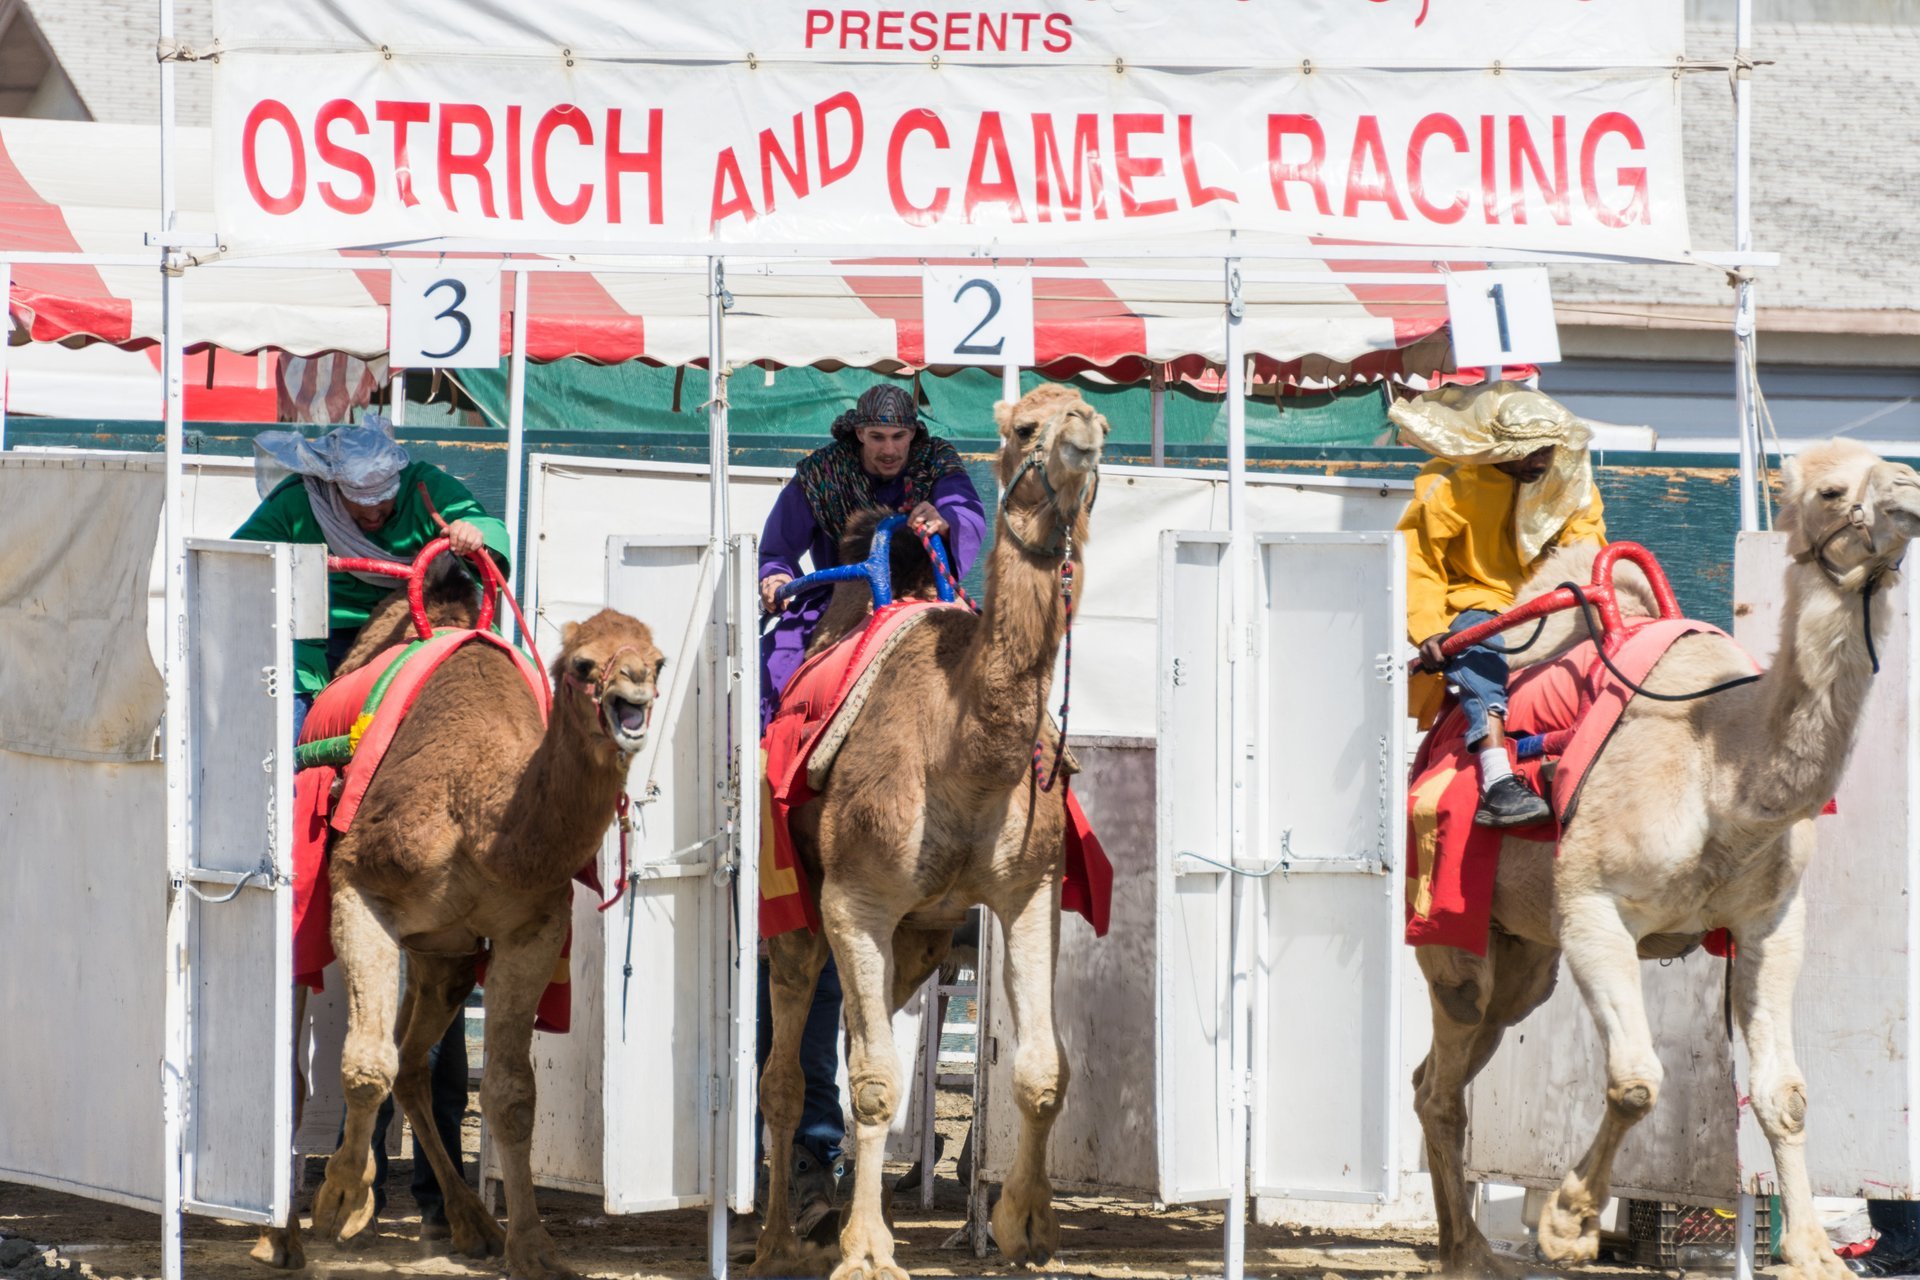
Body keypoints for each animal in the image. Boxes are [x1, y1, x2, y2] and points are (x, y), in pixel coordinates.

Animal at [249, 564, 668, 1280]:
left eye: (659, 659)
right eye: (582, 665)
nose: (634, 688)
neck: (482, 817)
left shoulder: (531, 929)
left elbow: (509, 1093)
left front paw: (532, 1246)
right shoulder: (361, 886)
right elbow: (365, 1064)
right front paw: (341, 1202)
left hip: (442, 956)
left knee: (416, 1063)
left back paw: (471, 1223)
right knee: (311, 1067)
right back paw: (282, 1237)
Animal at [748, 383, 1113, 1280]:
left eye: (1094, 414)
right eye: (1026, 426)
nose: (1083, 437)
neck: (963, 752)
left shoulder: (1028, 892)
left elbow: (1042, 1069)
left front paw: (1025, 1227)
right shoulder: (856, 901)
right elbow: (876, 1081)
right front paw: (868, 1251)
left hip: (920, 938)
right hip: (802, 916)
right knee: (785, 1072)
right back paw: (779, 1237)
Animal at [1413, 435, 1920, 1274]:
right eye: (1831, 490)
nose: (1911, 490)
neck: (1724, 770)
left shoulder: (1771, 924)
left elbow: (1784, 1095)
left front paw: (1814, 1251)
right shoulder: (1594, 907)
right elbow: (1637, 1082)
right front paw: (1567, 1224)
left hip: (1525, 957)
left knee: (1446, 1063)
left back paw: (1469, 1244)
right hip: (1450, 927)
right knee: (1442, 1081)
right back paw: (1470, 1253)